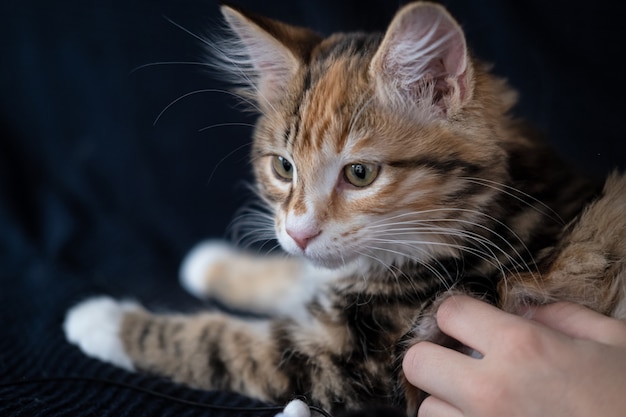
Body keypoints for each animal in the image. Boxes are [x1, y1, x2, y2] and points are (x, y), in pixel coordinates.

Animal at [63, 1, 624, 414]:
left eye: (360, 174)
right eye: (283, 167)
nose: (300, 233)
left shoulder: (348, 358)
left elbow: (212, 343)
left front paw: (99, 321)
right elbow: (295, 274)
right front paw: (212, 263)